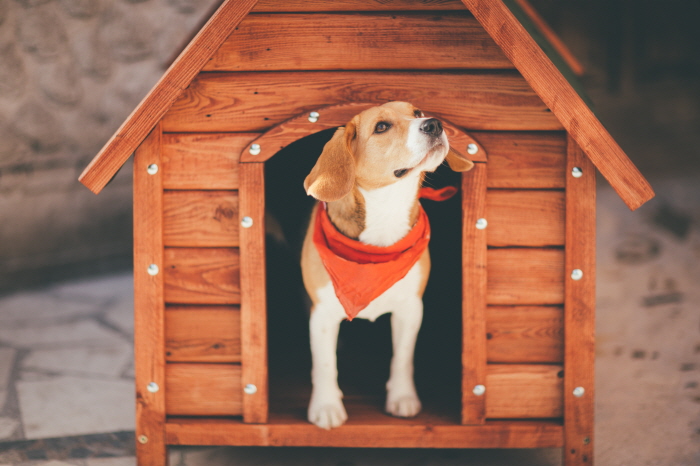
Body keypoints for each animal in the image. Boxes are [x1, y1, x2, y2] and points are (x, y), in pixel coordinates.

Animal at [300, 102, 476, 430]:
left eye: (417, 112)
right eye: (381, 127)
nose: (434, 124)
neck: (387, 211)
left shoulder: (411, 308)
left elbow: (403, 357)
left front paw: (402, 397)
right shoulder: (322, 314)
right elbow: (325, 363)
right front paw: (326, 406)